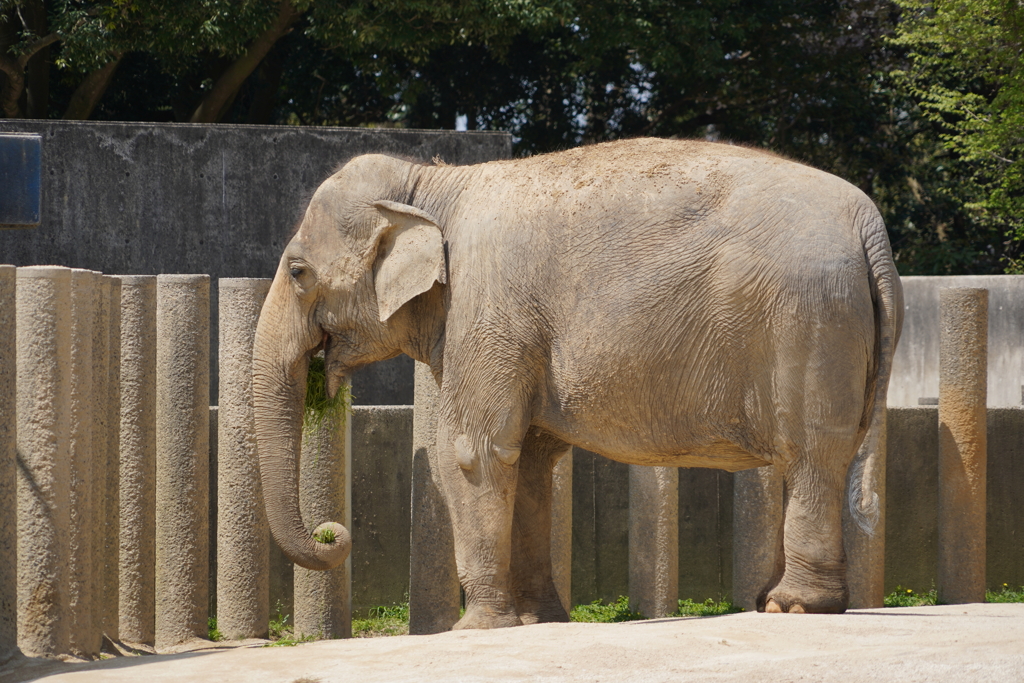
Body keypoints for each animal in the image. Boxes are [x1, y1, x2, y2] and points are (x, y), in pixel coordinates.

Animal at [251, 136, 901, 626]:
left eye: (298, 271)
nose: (335, 534)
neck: (431, 184)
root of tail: (871, 227)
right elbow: (532, 461)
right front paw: (539, 621)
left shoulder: (488, 308)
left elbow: (471, 451)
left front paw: (477, 628)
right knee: (813, 461)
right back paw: (793, 602)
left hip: (810, 324)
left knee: (811, 454)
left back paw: (792, 607)